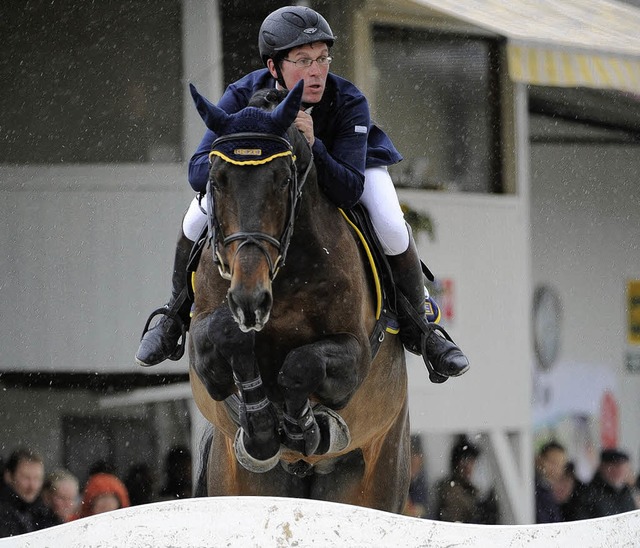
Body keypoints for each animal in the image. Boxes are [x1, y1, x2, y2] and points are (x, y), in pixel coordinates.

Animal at [188, 81, 412, 512]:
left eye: (282, 179)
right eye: (218, 179)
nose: (251, 300)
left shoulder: (355, 353)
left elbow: (300, 365)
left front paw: (306, 428)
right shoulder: (205, 349)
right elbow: (227, 336)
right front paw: (261, 429)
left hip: (378, 471)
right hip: (240, 484)